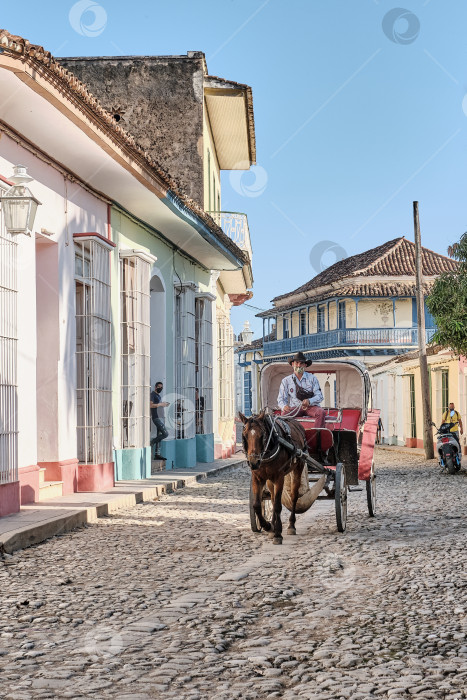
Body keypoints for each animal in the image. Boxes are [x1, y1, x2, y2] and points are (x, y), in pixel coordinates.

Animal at [239, 410, 308, 548]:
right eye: (245, 435)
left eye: (262, 435)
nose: (253, 462)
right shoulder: (257, 478)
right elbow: (257, 505)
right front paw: (268, 526)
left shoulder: (279, 477)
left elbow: (277, 506)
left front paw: (278, 534)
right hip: (269, 480)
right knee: (271, 497)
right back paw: (272, 526)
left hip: (298, 467)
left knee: (293, 496)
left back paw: (291, 526)